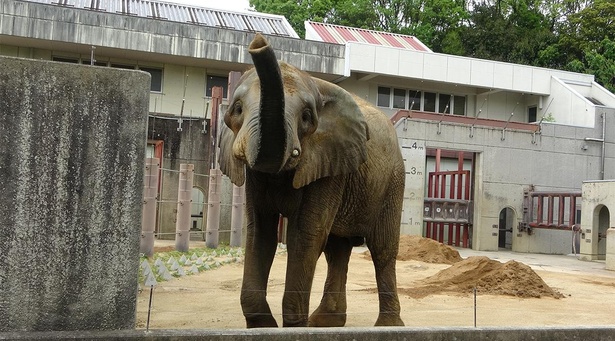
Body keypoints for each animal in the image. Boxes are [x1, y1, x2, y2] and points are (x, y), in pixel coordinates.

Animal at [219, 33, 406, 326]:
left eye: (307, 117)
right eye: (237, 110)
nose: (258, 42)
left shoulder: (330, 165)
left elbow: (305, 236)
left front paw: (295, 328)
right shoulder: (256, 176)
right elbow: (260, 232)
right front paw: (265, 327)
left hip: (392, 182)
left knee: (382, 250)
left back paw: (386, 327)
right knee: (337, 251)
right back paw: (326, 322)